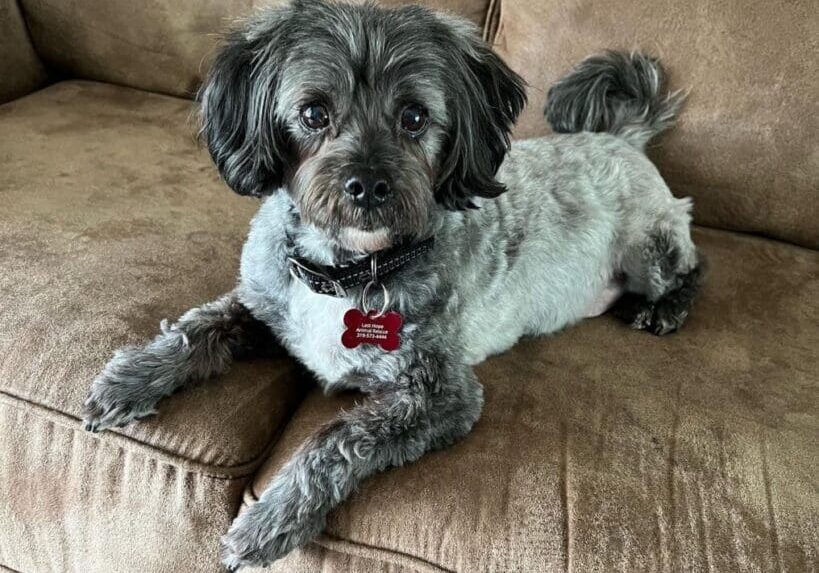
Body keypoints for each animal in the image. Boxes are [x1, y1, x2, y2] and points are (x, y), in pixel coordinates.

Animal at [81, 0, 700, 568]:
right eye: (313, 113)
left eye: (414, 117)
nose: (368, 185)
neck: (348, 272)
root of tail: (621, 138)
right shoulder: (262, 305)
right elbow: (198, 328)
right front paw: (130, 380)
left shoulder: (443, 394)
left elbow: (334, 440)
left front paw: (272, 517)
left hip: (649, 247)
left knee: (691, 266)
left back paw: (665, 310)